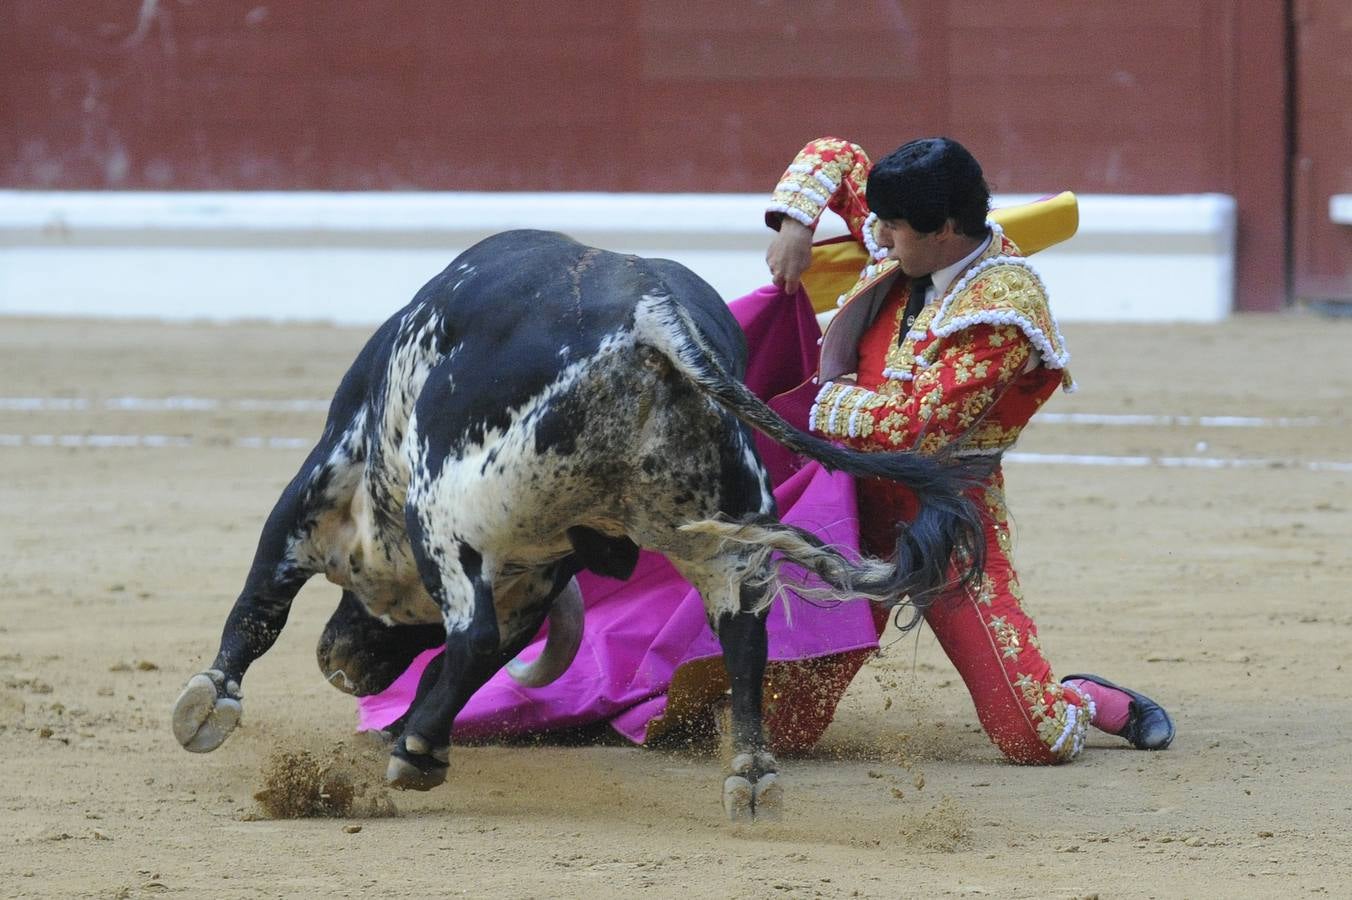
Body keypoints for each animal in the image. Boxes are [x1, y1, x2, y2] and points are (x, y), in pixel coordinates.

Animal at [171, 228, 984, 816]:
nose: (340, 666)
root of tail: (653, 315)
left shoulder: (322, 487)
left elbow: (261, 604)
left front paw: (209, 705)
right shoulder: (535, 578)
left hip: (449, 512)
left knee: (472, 638)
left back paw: (417, 755)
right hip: (723, 535)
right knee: (745, 637)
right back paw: (751, 776)